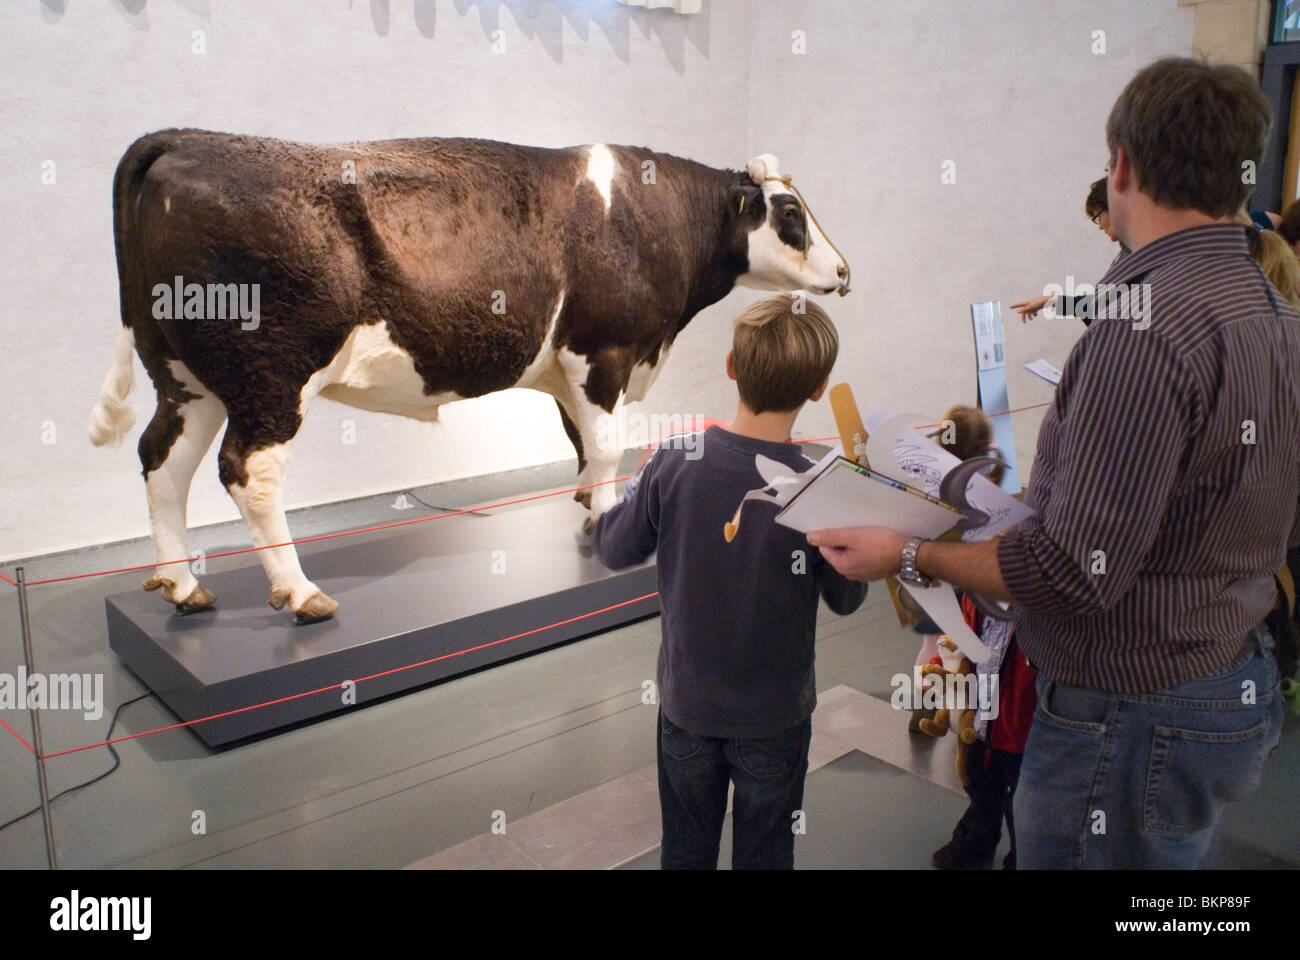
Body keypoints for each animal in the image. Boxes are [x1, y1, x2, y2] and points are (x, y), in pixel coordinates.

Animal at [86, 128, 847, 621]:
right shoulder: (603, 350)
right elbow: (608, 445)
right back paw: (299, 594)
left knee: (162, 459)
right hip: (271, 373)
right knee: (248, 470)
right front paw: (607, 520)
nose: (842, 272)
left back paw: (181, 586)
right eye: (790, 214)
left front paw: (584, 508)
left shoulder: (571, 366)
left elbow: (578, 440)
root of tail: (188, 139)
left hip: (189, 376)